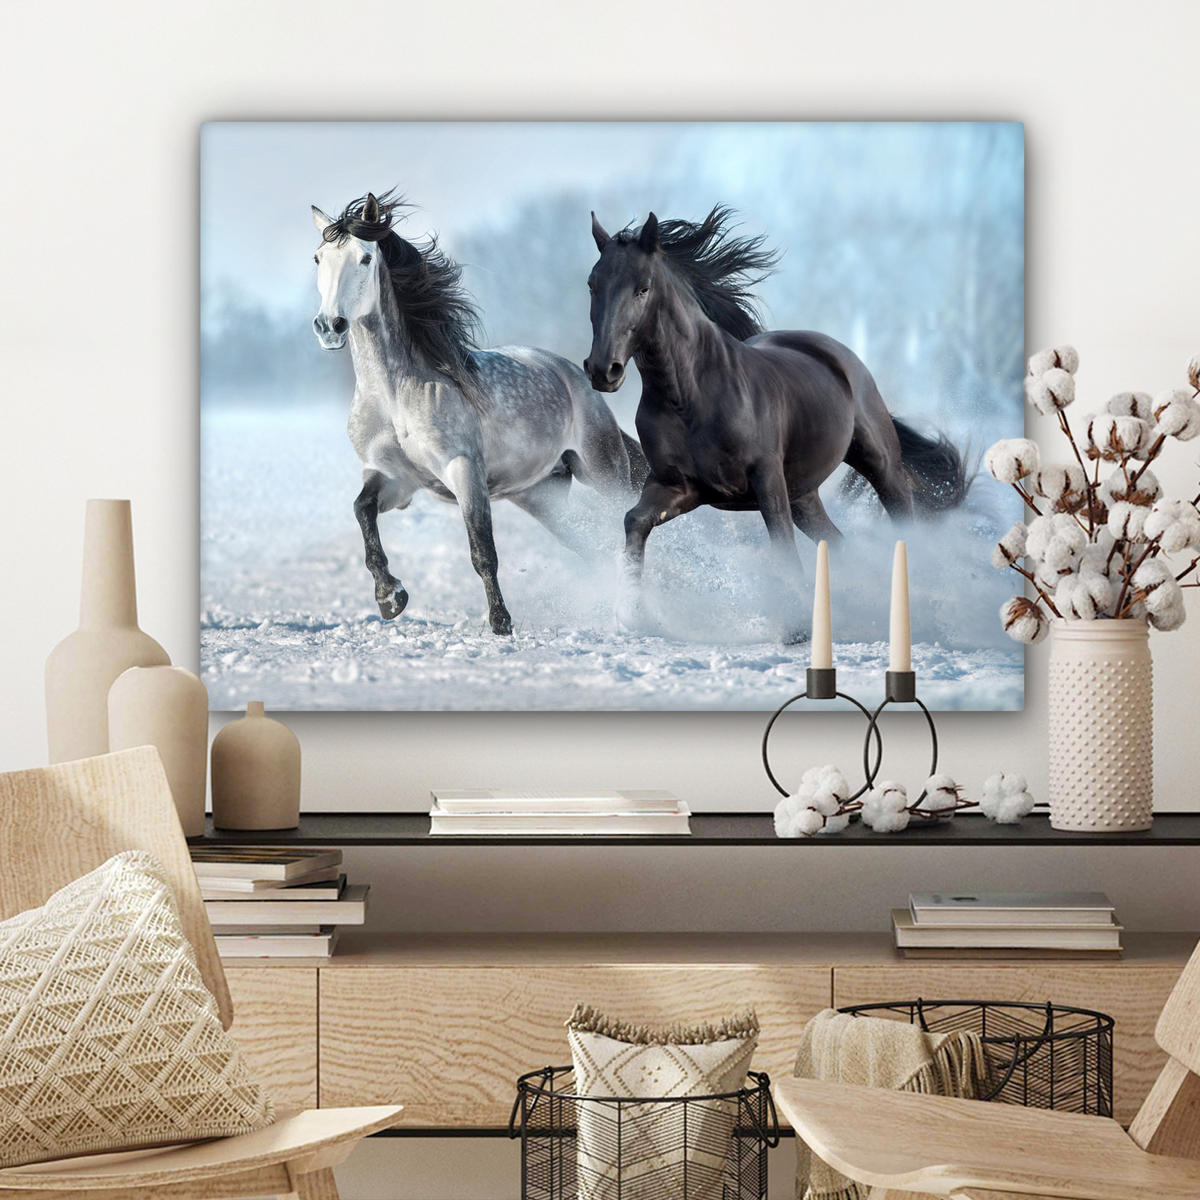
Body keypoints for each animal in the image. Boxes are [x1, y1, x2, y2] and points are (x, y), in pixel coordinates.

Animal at [311, 191, 646, 635]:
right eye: (318, 258)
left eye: (364, 258)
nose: (329, 326)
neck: (395, 396)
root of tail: (572, 374)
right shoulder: (394, 478)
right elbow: (362, 512)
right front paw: (390, 597)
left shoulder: (464, 470)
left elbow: (482, 550)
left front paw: (501, 623)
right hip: (540, 496)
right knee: (591, 544)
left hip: (604, 471)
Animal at [584, 206, 967, 628]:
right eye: (592, 284)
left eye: (643, 288)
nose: (603, 370)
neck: (691, 397)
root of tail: (837, 353)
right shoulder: (678, 486)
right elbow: (634, 521)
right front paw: (632, 614)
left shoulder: (766, 480)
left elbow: (781, 546)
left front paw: (796, 627)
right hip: (804, 494)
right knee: (838, 543)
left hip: (878, 464)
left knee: (902, 519)